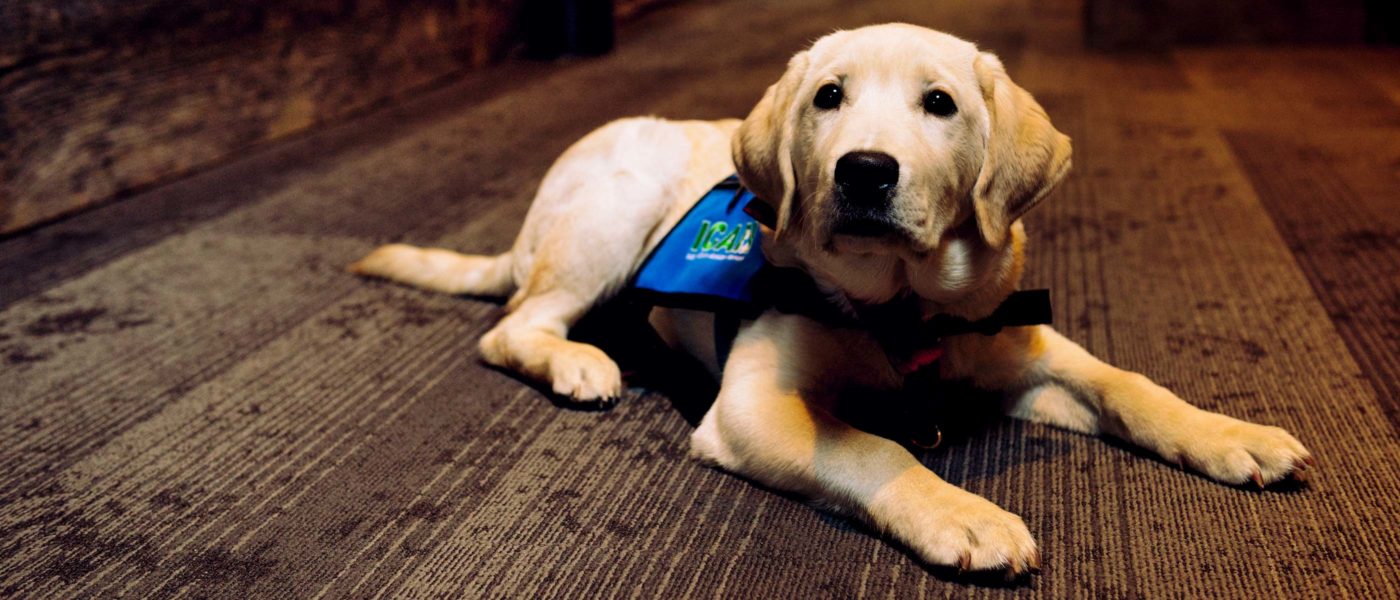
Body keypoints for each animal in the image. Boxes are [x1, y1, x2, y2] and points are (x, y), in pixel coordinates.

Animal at [352, 24, 1310, 576]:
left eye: (940, 104)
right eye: (828, 97)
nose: (864, 171)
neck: (904, 306)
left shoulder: (1024, 345)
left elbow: (1127, 384)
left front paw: (1231, 434)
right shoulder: (754, 406)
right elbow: (869, 447)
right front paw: (964, 514)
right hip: (613, 214)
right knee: (515, 327)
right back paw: (579, 362)